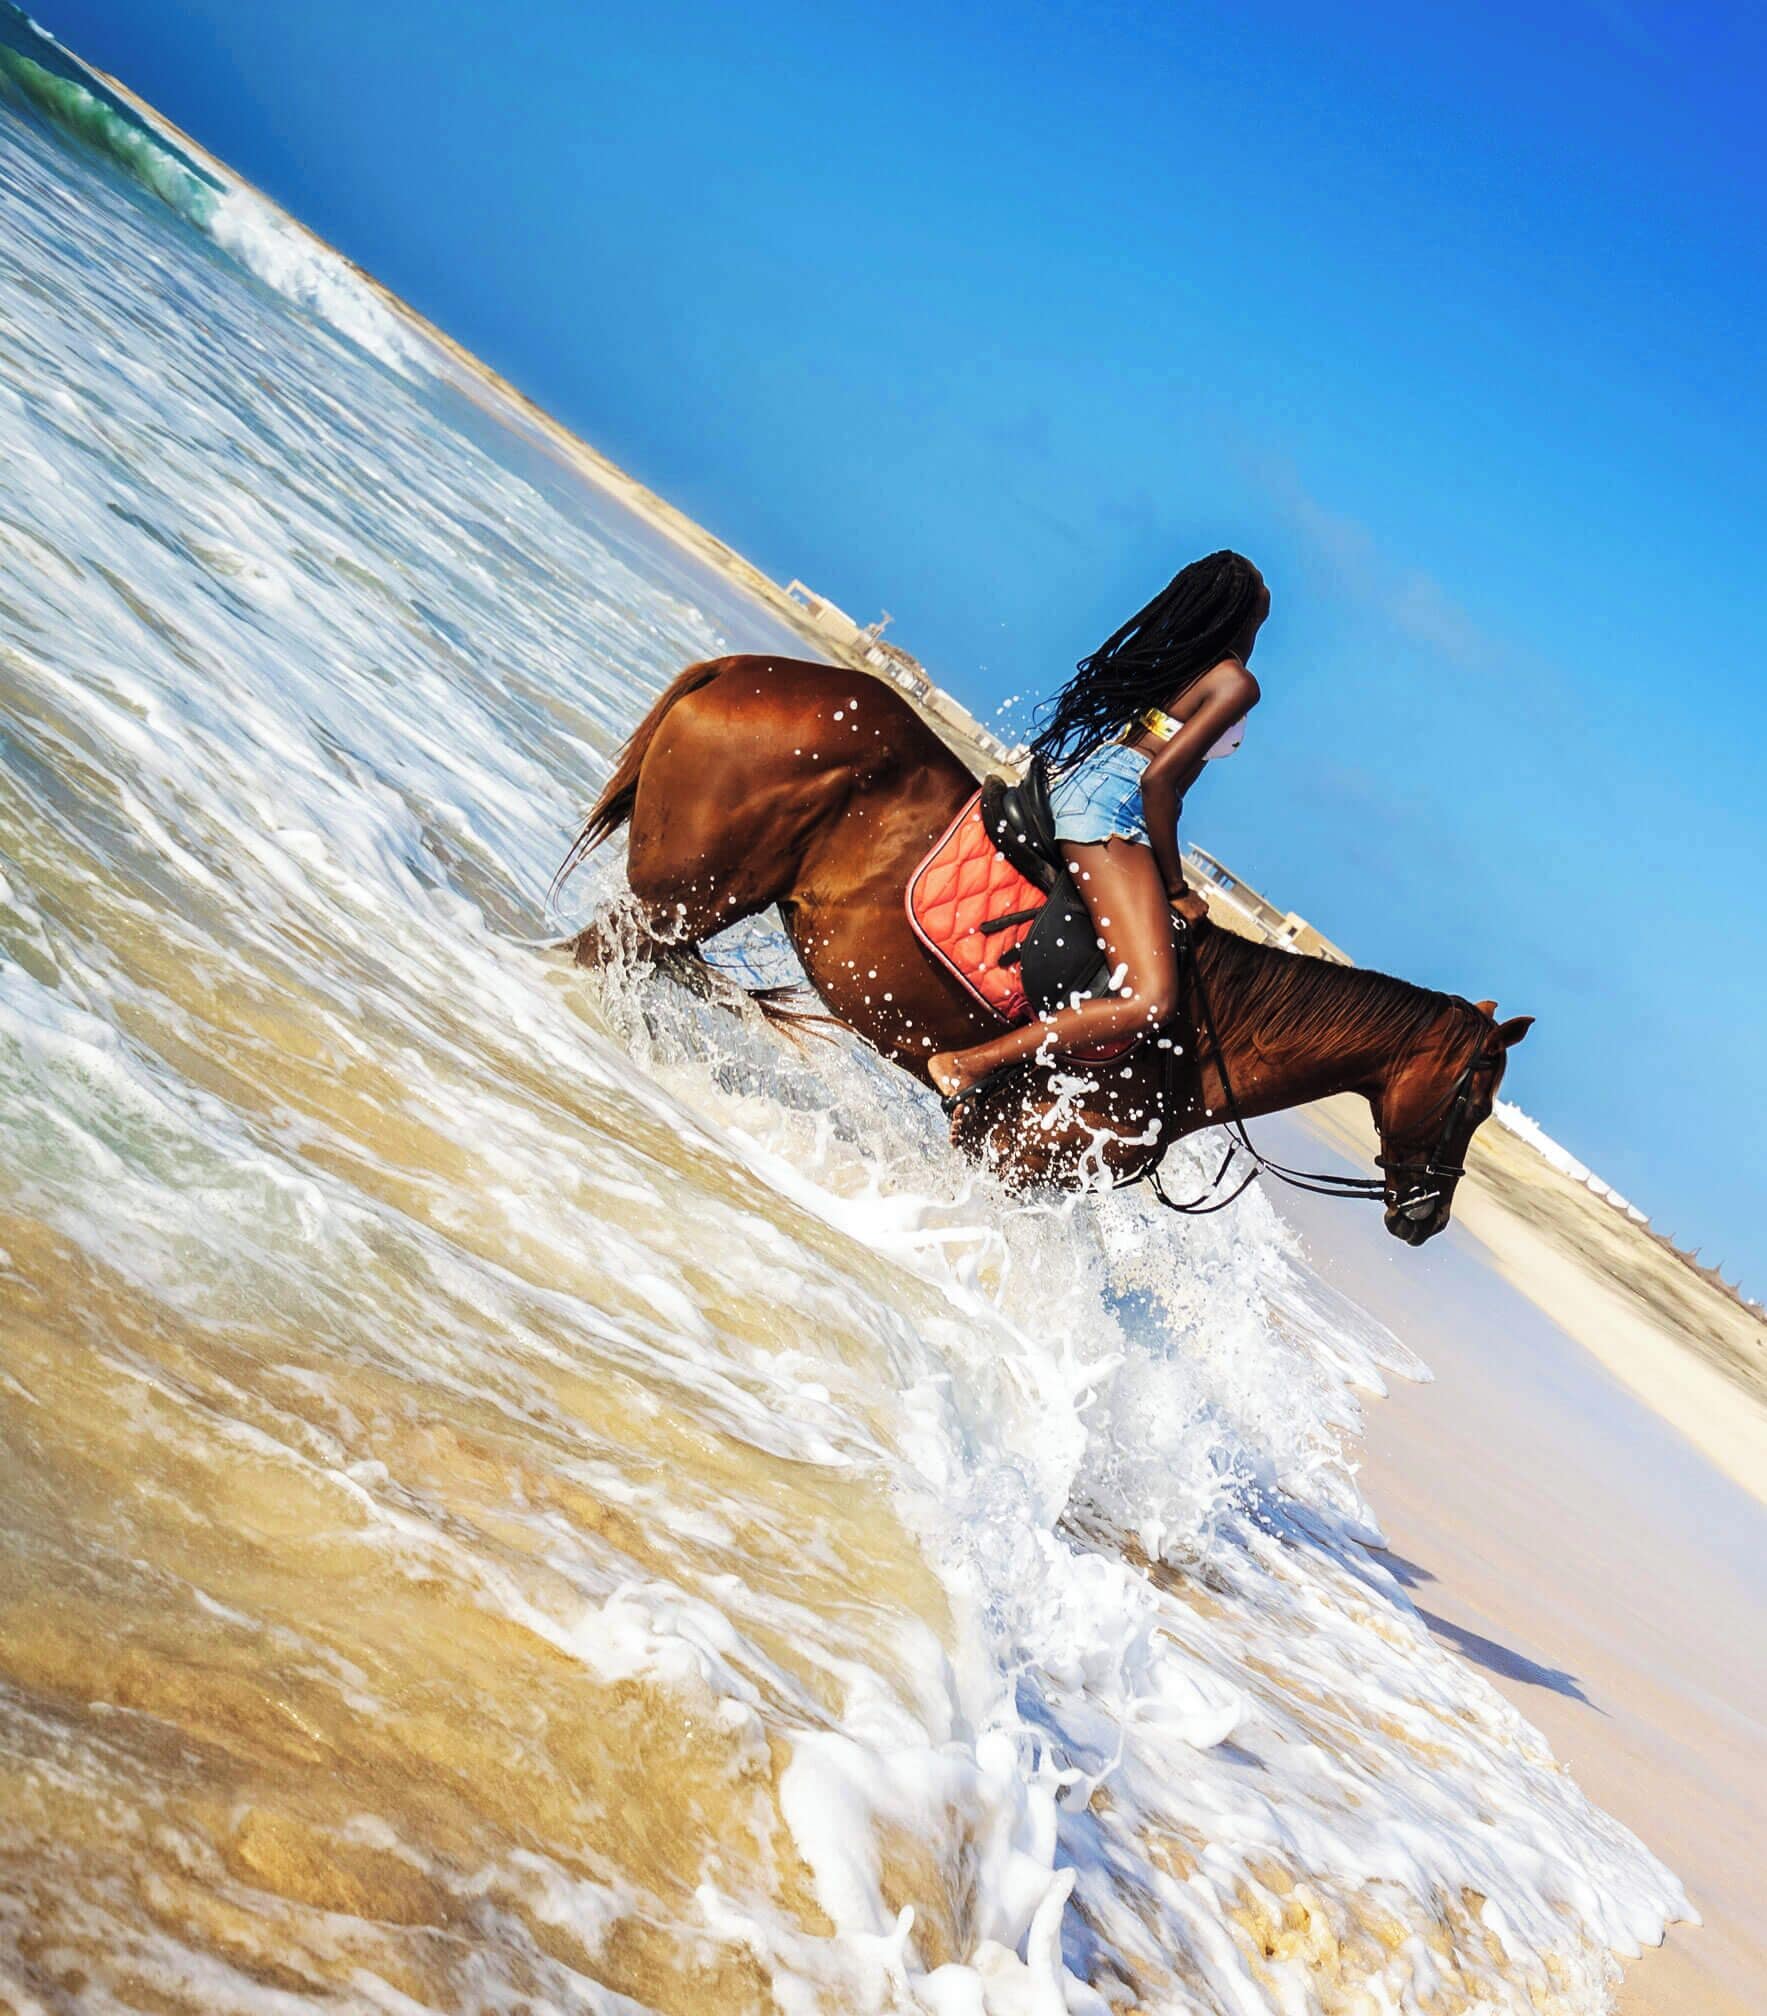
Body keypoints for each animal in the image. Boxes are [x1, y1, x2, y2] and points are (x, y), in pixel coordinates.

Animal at [561, 655, 1531, 1245]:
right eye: (1471, 1101)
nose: (1426, 1217)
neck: (1199, 1032)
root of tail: (746, 670)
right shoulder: (1017, 1163)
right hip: (678, 904)